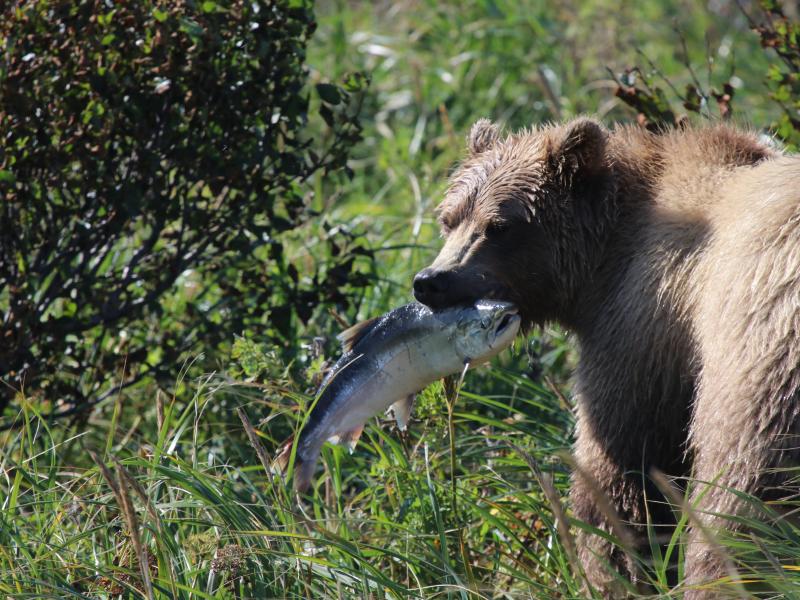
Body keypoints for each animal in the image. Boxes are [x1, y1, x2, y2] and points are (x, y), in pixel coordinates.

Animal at [412, 117, 800, 598]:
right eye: (449, 218)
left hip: (762, 346)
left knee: (744, 487)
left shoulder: (641, 323)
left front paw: (612, 567)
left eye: (499, 225)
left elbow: (621, 459)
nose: (432, 280)